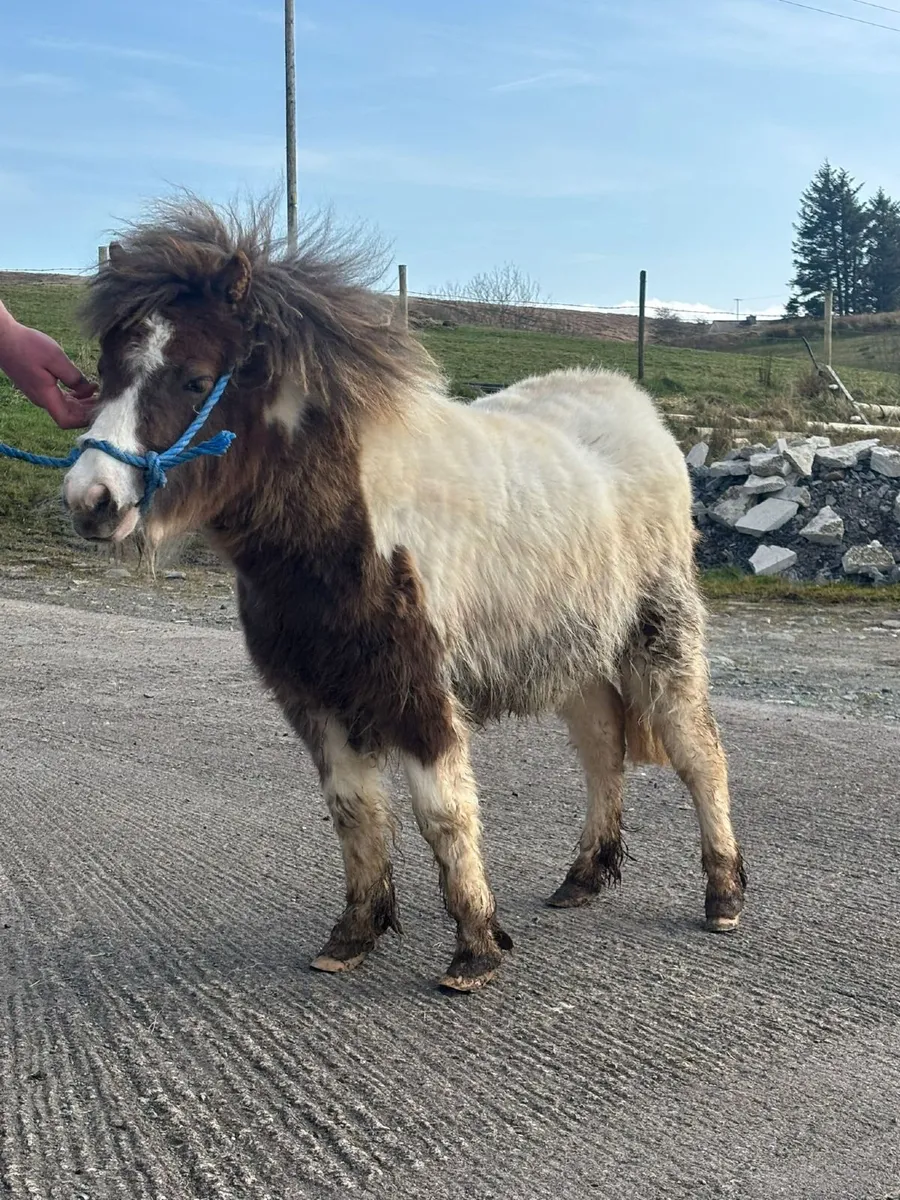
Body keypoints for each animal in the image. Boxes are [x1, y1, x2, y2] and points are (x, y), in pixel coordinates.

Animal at [62, 196, 746, 992]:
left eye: (197, 379)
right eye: (102, 372)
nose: (91, 501)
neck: (341, 528)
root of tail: (639, 412)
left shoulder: (419, 690)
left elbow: (443, 812)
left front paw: (475, 949)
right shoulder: (315, 697)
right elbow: (354, 810)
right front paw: (354, 936)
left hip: (658, 638)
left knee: (698, 752)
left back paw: (724, 896)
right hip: (575, 654)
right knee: (603, 751)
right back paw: (581, 878)